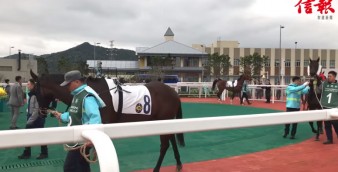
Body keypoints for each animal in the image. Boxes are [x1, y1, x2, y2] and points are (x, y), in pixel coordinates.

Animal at [30, 70, 185, 172]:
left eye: (35, 91)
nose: (41, 112)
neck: (91, 90)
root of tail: (174, 93)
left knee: (164, 145)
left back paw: (157, 168)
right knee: (171, 140)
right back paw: (178, 164)